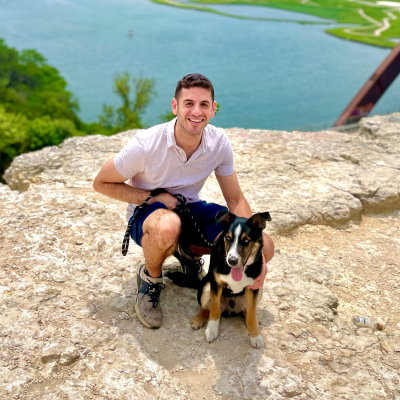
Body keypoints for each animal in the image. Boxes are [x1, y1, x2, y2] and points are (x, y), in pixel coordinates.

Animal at [191, 211, 272, 348]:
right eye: (228, 238)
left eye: (246, 240)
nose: (232, 261)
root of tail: (231, 309)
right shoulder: (215, 283)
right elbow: (214, 309)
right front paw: (211, 330)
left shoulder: (253, 287)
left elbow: (251, 314)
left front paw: (255, 335)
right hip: (206, 286)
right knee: (207, 307)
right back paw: (198, 319)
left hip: (259, 288)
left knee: (248, 311)